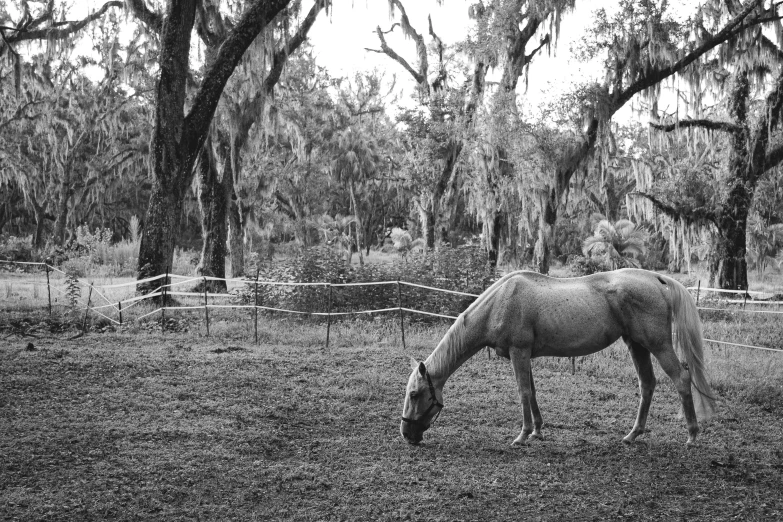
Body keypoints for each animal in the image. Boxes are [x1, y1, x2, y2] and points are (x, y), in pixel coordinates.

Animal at [404, 268, 716, 442]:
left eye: (415, 395)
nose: (406, 435)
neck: (500, 302)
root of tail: (657, 277)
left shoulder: (519, 353)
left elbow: (523, 392)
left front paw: (522, 435)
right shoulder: (525, 355)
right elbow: (532, 391)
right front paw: (537, 431)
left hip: (658, 345)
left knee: (681, 378)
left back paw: (691, 435)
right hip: (636, 345)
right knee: (647, 385)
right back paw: (632, 435)